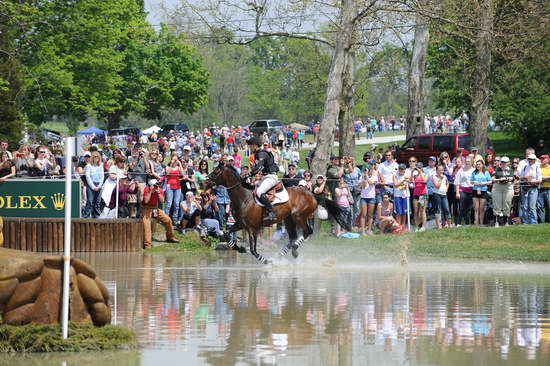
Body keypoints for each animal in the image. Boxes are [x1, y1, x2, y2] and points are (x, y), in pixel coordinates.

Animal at [209, 163, 352, 264]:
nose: (206, 181)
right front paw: (240, 248)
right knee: (292, 238)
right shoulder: (240, 224)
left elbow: (253, 250)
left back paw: (291, 251)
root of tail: (312, 194)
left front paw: (267, 261)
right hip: (288, 219)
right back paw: (284, 254)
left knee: (307, 232)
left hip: (298, 216)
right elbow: (226, 234)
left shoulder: (252, 228)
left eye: (216, 171)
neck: (244, 198)